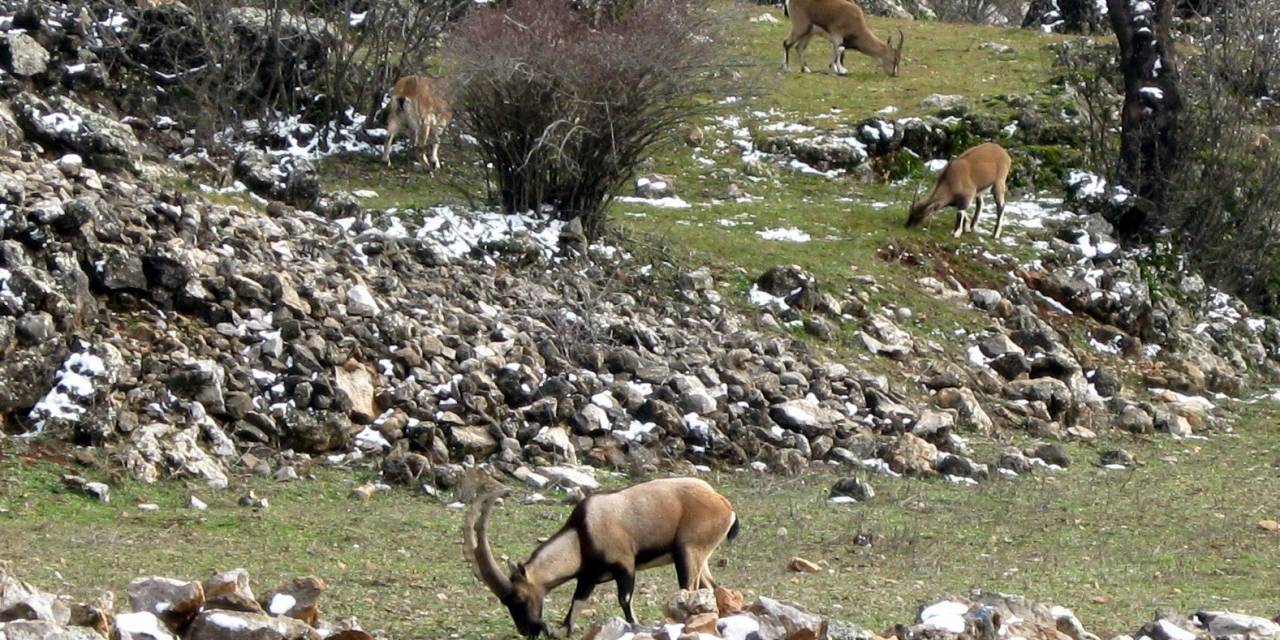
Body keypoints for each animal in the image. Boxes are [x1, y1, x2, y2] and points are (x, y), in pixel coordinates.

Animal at [463, 478, 742, 637]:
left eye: (519, 598)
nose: (527, 630)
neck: (582, 535)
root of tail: (724, 505)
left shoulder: (625, 565)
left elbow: (624, 600)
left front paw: (636, 627)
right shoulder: (588, 578)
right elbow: (575, 605)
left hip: (688, 551)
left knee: (691, 588)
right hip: (700, 557)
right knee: (713, 588)